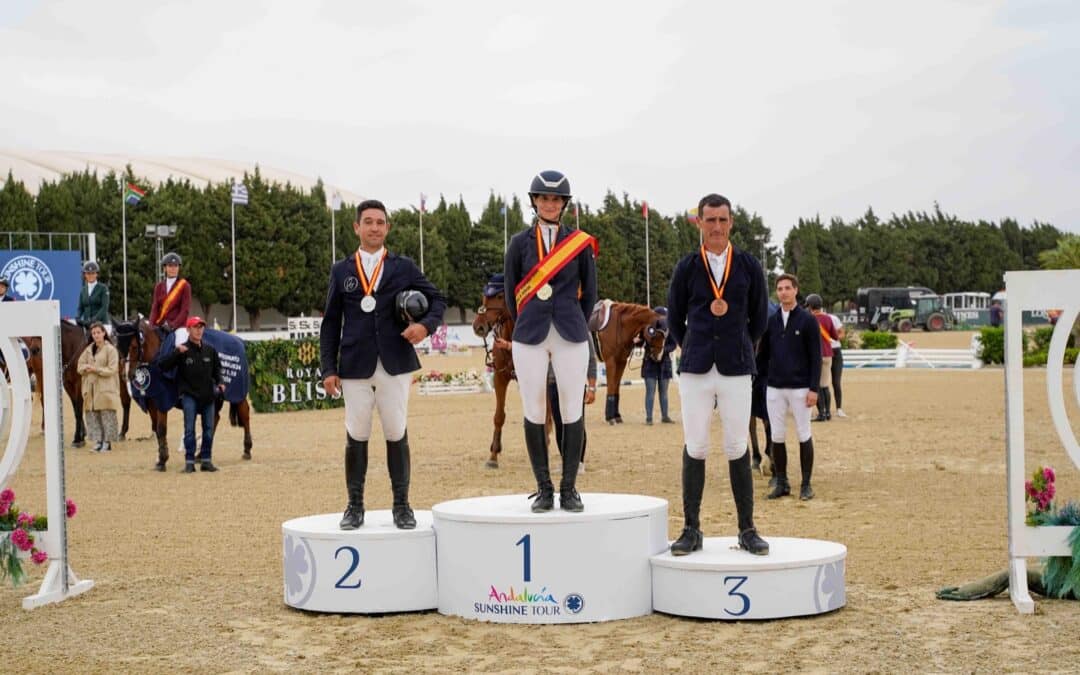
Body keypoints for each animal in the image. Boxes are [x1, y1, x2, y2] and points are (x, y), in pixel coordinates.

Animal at [117, 317, 252, 468]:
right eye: (118, 346)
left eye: (134, 346)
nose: (125, 375)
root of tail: (239, 341)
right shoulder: (153, 400)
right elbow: (157, 429)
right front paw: (160, 457)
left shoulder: (163, 399)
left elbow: (161, 428)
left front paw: (163, 459)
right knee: (215, 418)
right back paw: (200, 454)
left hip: (237, 392)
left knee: (244, 413)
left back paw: (247, 449)